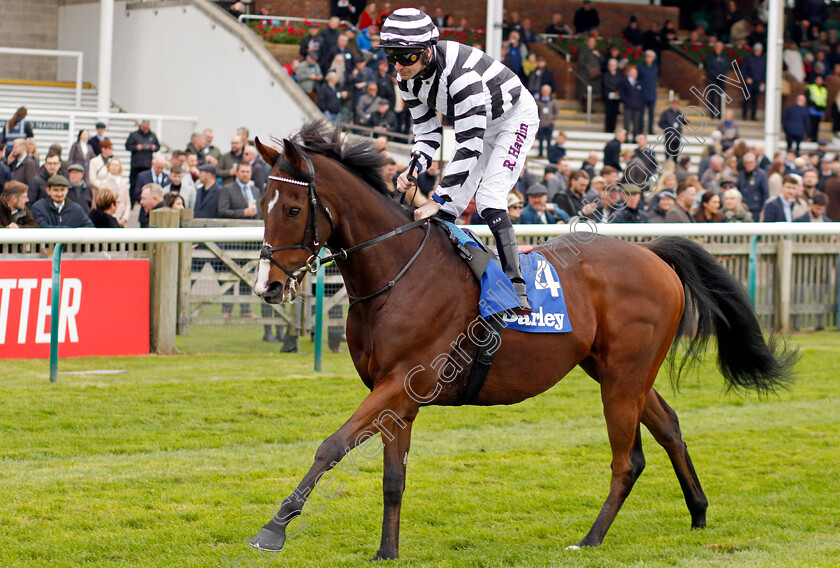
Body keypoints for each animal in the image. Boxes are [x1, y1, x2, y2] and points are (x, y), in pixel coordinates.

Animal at [248, 122, 796, 560]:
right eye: (262, 204)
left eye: (293, 208)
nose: (267, 286)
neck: (396, 272)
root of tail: (654, 254)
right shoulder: (398, 395)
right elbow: (392, 478)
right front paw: (387, 551)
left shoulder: (403, 380)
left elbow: (331, 446)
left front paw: (273, 529)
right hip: (617, 369)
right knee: (669, 426)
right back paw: (698, 511)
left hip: (623, 376)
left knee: (629, 459)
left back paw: (590, 538)